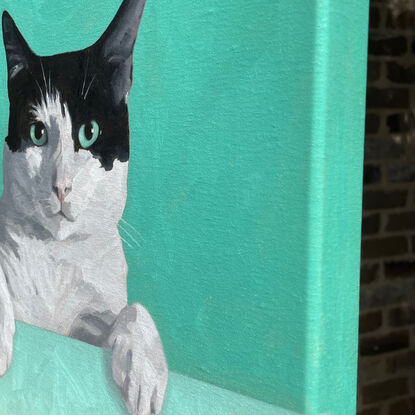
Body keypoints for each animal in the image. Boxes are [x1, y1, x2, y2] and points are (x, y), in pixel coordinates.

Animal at [0, 0, 169, 415]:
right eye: (37, 133)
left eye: (88, 133)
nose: (61, 186)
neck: (55, 260)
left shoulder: (91, 324)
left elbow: (133, 310)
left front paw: (145, 369)